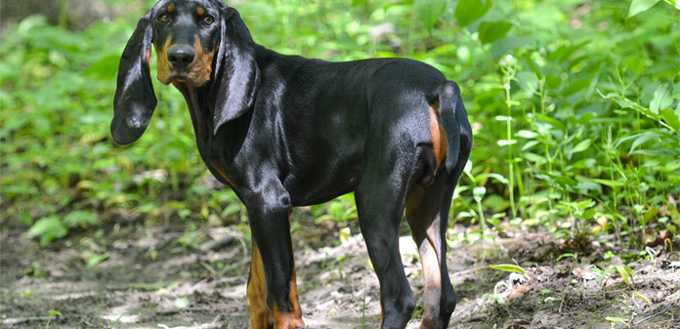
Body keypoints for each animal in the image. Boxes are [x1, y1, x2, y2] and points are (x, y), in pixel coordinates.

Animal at [111, 1, 472, 326]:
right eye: (163, 17)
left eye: (208, 20)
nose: (180, 58)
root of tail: (437, 88)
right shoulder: (257, 207)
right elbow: (257, 292)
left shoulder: (268, 201)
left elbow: (281, 299)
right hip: (428, 206)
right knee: (441, 297)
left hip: (375, 204)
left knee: (399, 298)